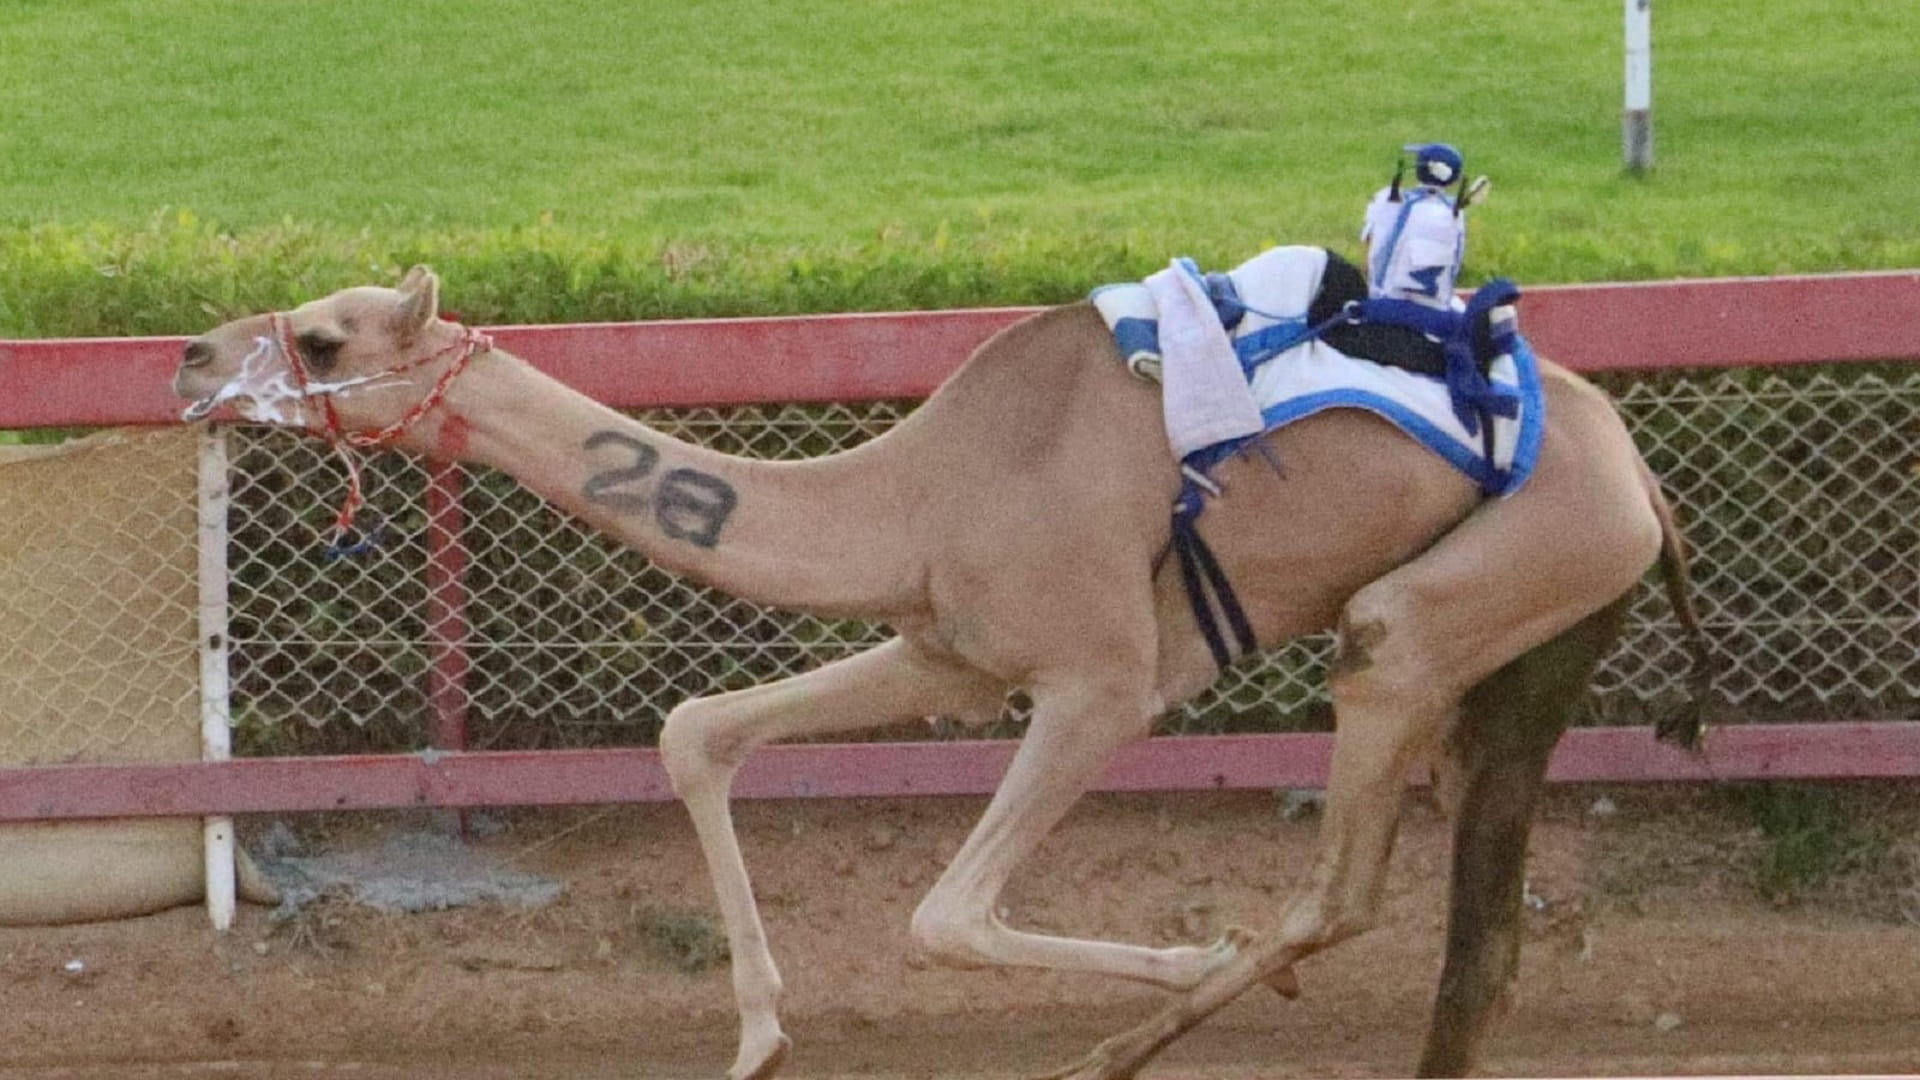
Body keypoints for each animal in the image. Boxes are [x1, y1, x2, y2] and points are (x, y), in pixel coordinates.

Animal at [173, 265, 1706, 1080]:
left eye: (324, 336)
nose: (189, 355)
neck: (920, 490)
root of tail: (1644, 483)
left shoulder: (1102, 679)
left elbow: (947, 913)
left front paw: (1190, 955)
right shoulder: (943, 648)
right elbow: (696, 730)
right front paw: (757, 1039)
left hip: (1475, 589)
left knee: (1351, 868)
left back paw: (1133, 1037)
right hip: (1537, 646)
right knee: (1473, 934)